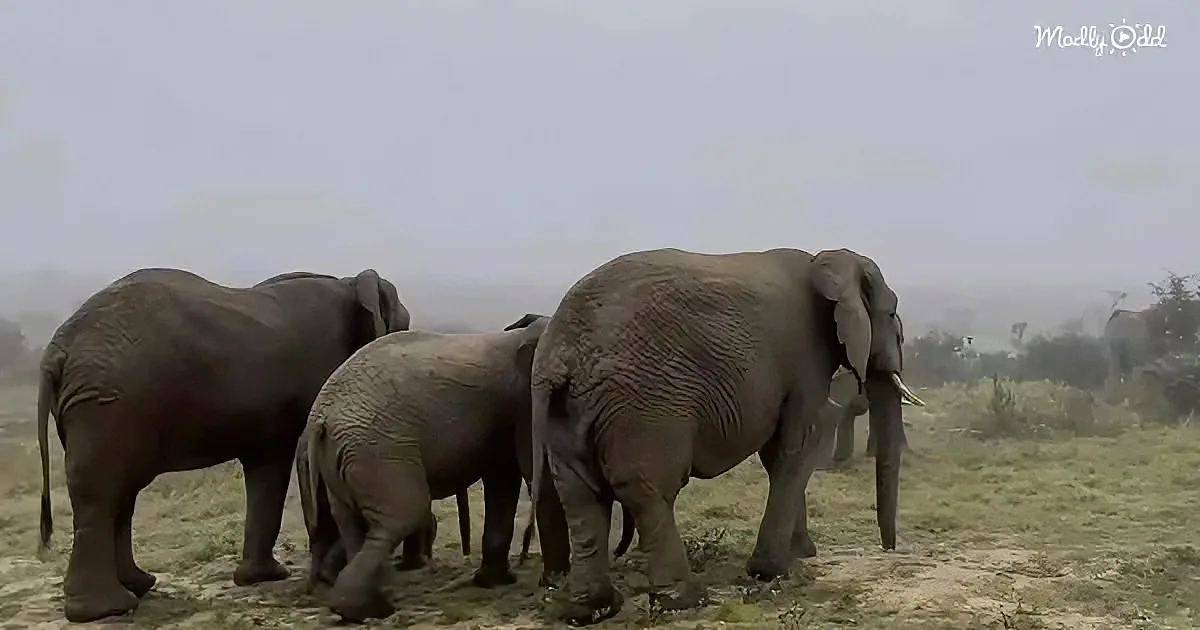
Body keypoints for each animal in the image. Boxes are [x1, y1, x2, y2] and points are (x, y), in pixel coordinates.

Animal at [35, 267, 408, 623]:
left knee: (121, 491)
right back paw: (107, 609)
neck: (349, 282)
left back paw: (137, 587)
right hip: (110, 404)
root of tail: (56, 350)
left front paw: (261, 577)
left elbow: (268, 467)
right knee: (103, 491)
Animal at [527, 247, 925, 624]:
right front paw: (770, 572)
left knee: (581, 497)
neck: (826, 261)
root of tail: (560, 353)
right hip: (646, 405)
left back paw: (591, 610)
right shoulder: (806, 359)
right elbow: (798, 444)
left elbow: (778, 455)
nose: (889, 549)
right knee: (649, 492)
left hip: (569, 410)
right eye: (891, 314)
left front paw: (801, 554)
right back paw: (685, 601)